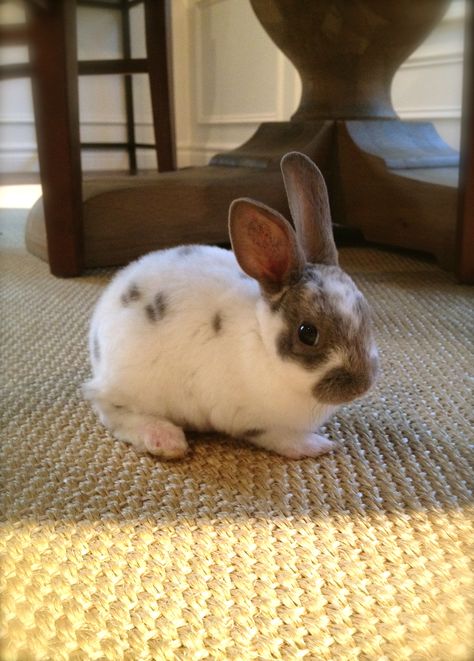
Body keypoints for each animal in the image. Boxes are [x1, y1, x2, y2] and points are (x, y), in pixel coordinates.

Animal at [82, 151, 378, 456]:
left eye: (366, 314)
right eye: (308, 333)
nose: (361, 385)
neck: (263, 343)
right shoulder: (253, 422)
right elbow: (282, 438)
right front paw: (317, 445)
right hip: (136, 385)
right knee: (107, 406)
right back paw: (164, 438)